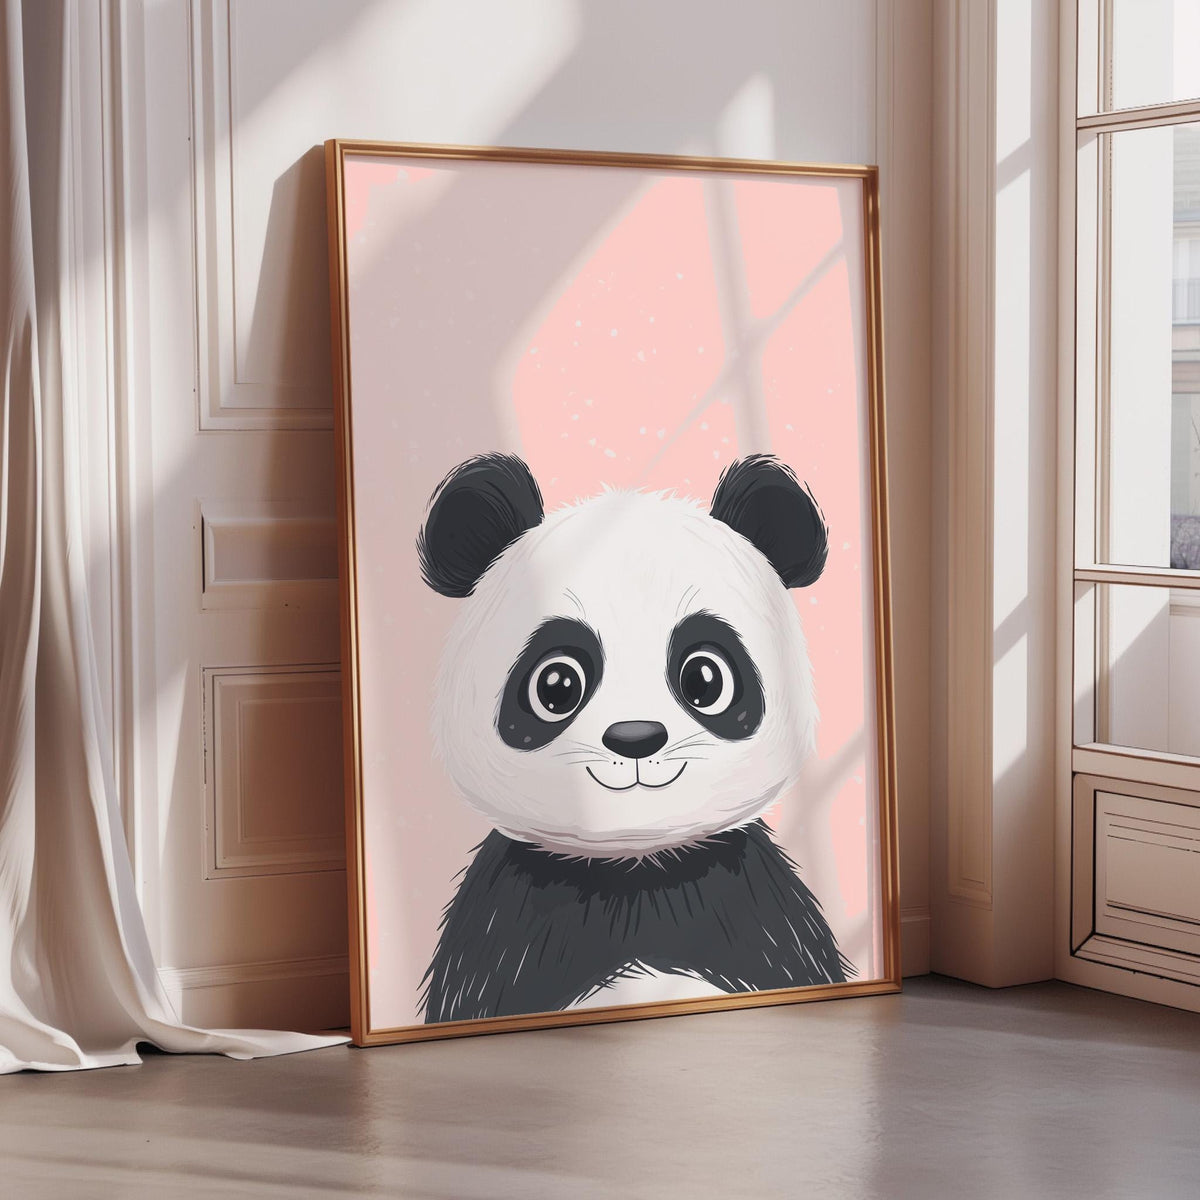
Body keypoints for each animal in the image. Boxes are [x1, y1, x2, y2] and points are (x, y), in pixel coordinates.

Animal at [416, 452, 851, 1024]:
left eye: (704, 678)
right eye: (556, 685)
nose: (636, 737)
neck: (635, 866)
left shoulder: (759, 916)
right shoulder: (503, 936)